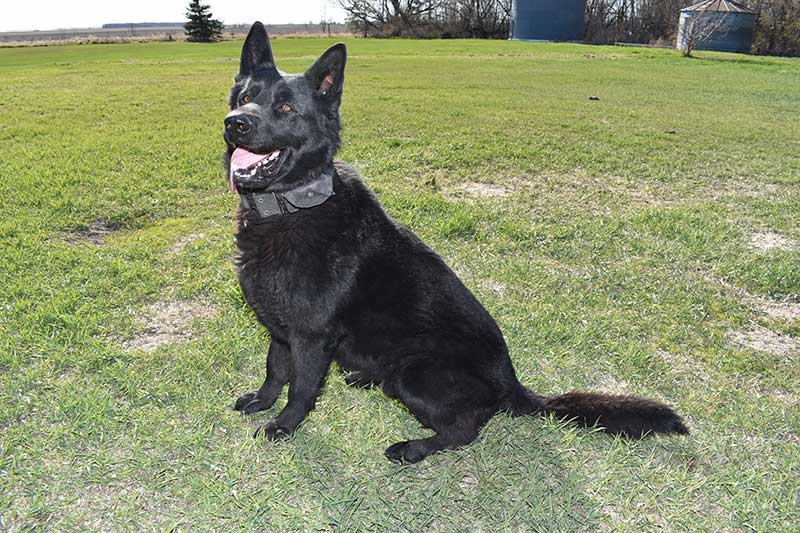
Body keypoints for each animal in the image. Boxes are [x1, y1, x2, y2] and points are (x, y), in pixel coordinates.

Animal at [223, 21, 688, 462]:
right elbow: (275, 370)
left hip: (414, 373)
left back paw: (414, 447)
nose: (235, 123)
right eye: (244, 96)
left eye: (286, 107)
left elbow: (300, 387)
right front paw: (262, 402)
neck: (291, 205)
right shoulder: (281, 330)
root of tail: (512, 384)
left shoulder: (310, 336)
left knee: (466, 428)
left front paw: (284, 425)